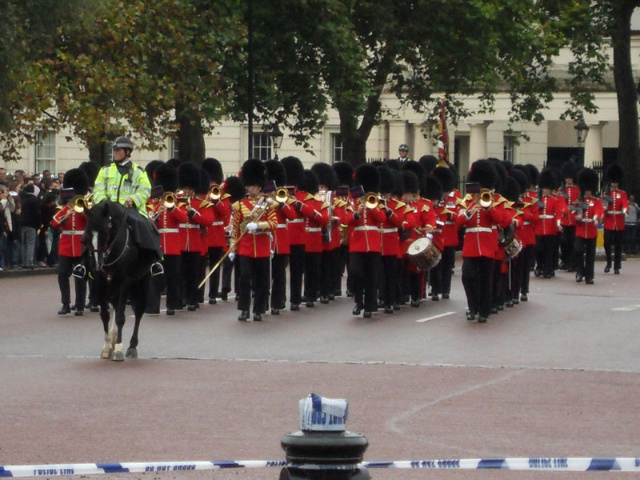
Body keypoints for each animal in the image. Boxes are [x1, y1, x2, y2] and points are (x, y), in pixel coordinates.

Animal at [84, 199, 153, 360]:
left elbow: (121, 317)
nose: (96, 264)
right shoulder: (99, 283)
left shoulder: (124, 282)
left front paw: (119, 349)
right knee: (116, 307)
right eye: (88, 232)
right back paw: (114, 339)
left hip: (142, 281)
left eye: (106, 229)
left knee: (139, 311)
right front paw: (107, 347)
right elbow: (105, 315)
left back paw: (132, 346)